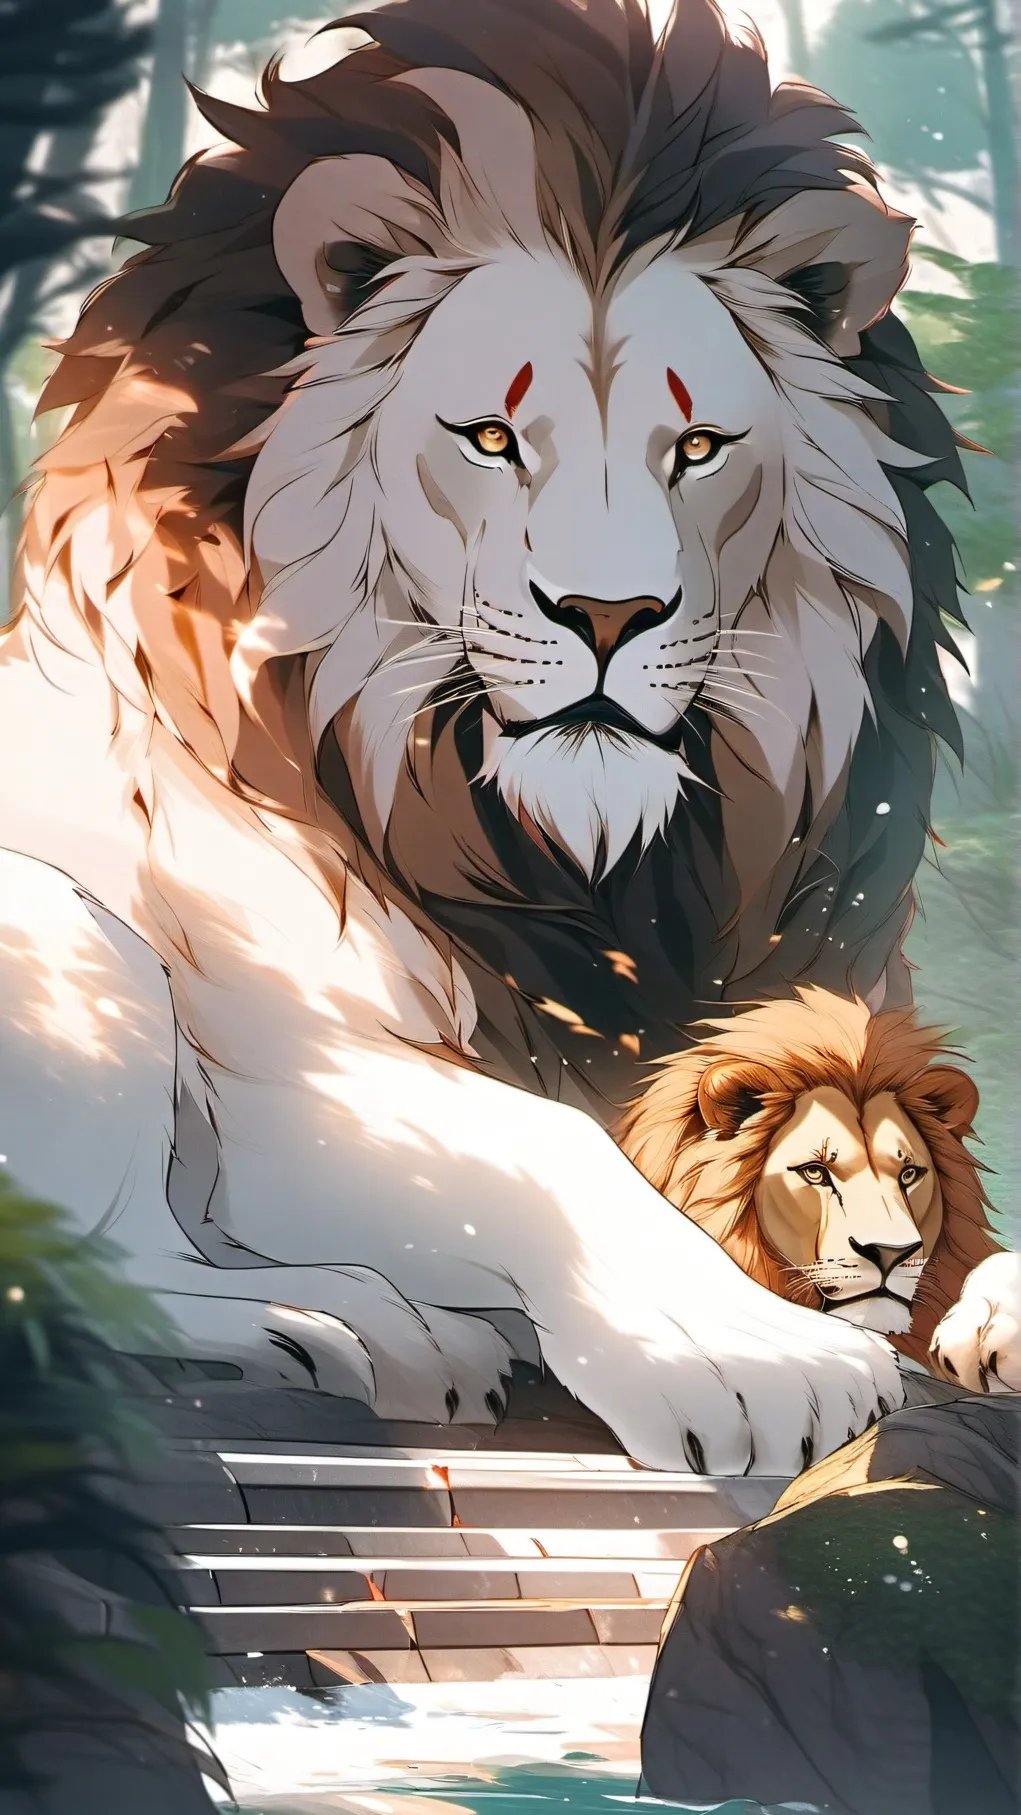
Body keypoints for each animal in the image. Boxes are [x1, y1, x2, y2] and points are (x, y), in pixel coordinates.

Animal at [0, 0, 972, 1471]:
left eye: (699, 445)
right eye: (491, 437)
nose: (608, 612)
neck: (582, 861)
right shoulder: (279, 1073)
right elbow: (550, 1147)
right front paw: (751, 1356)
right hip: (72, 933)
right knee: (91, 1263)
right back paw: (345, 1326)